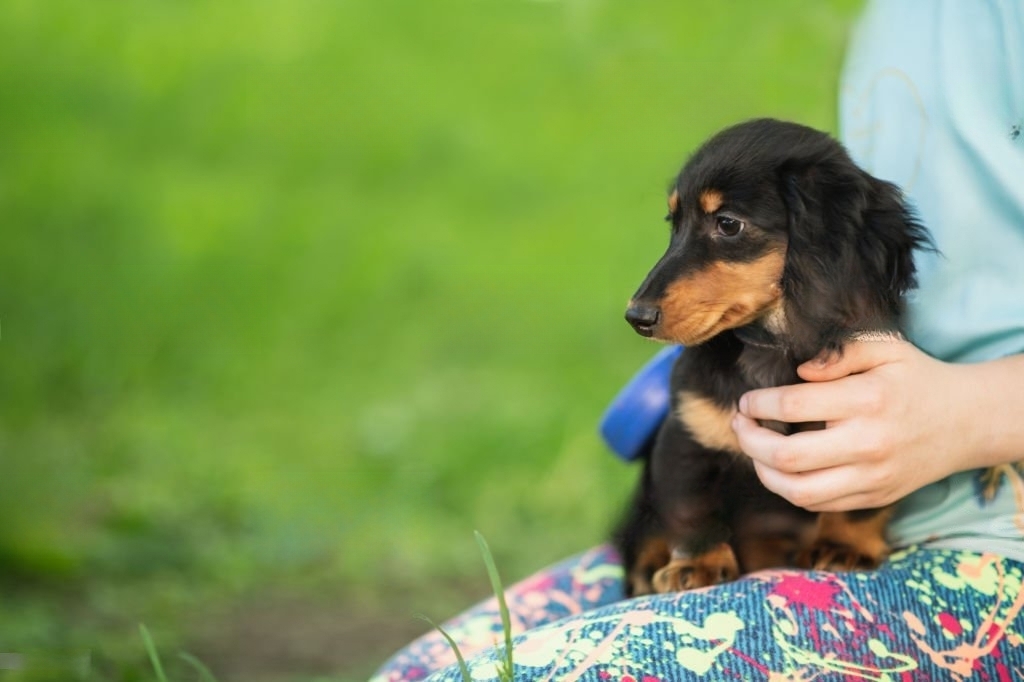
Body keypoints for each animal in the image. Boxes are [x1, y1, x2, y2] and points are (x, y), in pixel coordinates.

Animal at [610, 118, 933, 593]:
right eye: (674, 223)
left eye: (728, 224)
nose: (637, 316)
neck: (771, 347)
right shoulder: (686, 435)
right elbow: (691, 507)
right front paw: (699, 562)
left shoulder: (869, 435)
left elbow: (861, 502)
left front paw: (843, 544)